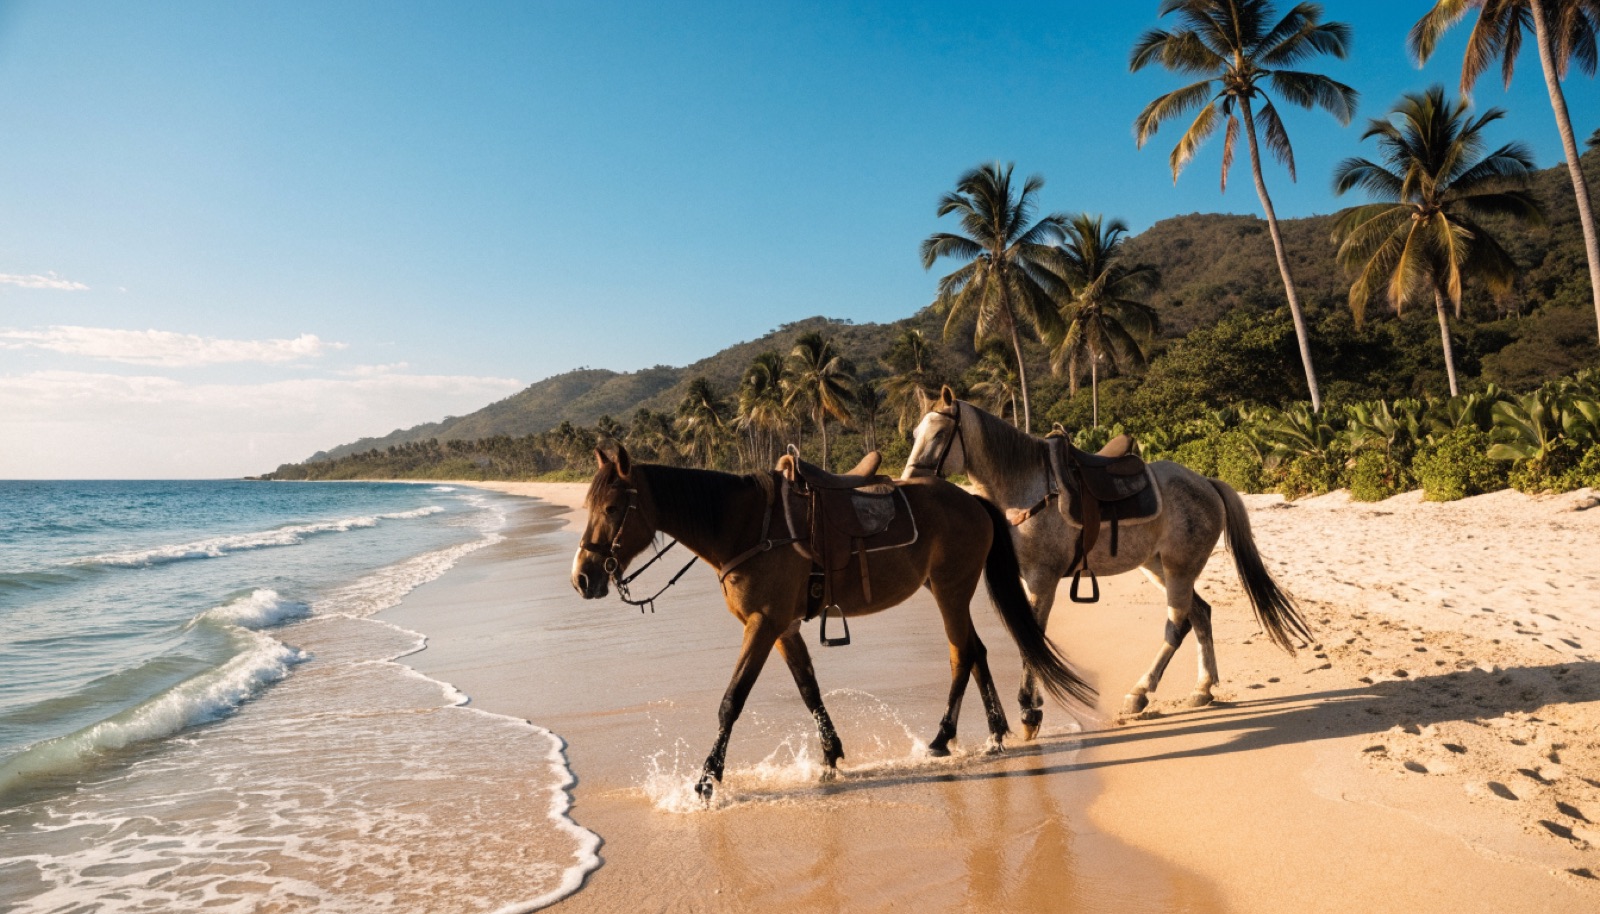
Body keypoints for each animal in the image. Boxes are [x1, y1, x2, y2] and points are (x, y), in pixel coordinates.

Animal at [571, 444, 1094, 801]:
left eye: (613, 508)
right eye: (588, 508)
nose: (582, 577)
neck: (745, 526)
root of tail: (972, 500)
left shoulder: (762, 625)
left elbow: (731, 702)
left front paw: (707, 781)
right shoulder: (783, 629)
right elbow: (809, 690)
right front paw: (829, 756)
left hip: (950, 590)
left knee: (962, 653)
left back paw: (946, 738)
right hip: (946, 591)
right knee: (976, 651)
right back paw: (992, 733)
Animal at [902, 387, 1309, 732]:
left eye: (939, 435)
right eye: (914, 434)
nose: (910, 482)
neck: (1026, 488)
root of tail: (1207, 483)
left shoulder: (1042, 579)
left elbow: (1031, 639)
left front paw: (1030, 709)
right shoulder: (1026, 580)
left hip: (1178, 569)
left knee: (1176, 625)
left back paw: (1139, 693)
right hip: (1159, 567)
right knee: (1200, 615)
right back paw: (1202, 688)